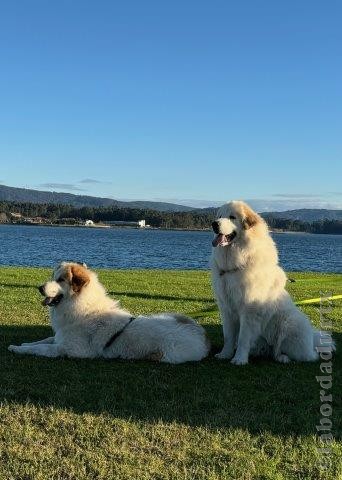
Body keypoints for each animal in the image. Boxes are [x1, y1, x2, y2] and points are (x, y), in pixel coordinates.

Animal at [8, 262, 210, 364]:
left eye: (60, 280)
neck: (82, 308)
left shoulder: (71, 349)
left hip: (169, 354)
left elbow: (40, 349)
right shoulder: (60, 338)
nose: (39, 288)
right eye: (52, 277)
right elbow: (43, 340)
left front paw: (18, 349)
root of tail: (202, 336)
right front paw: (24, 343)